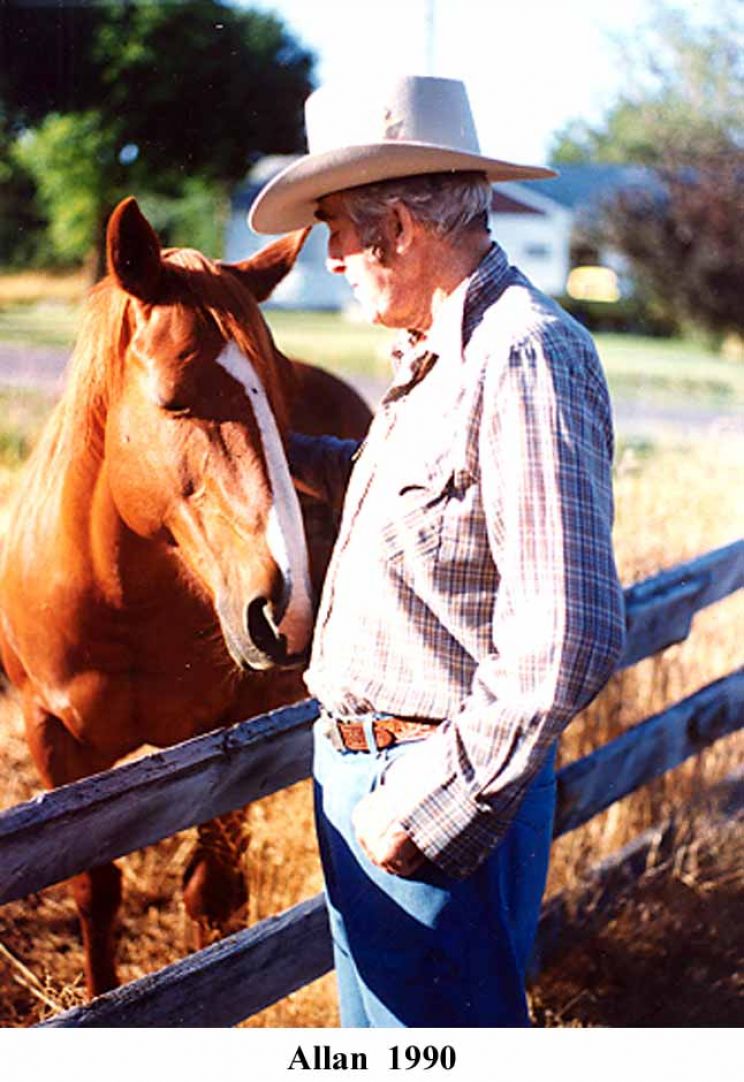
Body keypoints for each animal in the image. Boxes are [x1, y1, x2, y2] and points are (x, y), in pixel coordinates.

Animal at [0, 196, 369, 995]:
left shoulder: (232, 739)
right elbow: (95, 890)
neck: (119, 608)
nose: (284, 608)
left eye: (281, 401)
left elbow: (211, 893)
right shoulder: (51, 739)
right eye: (174, 399)